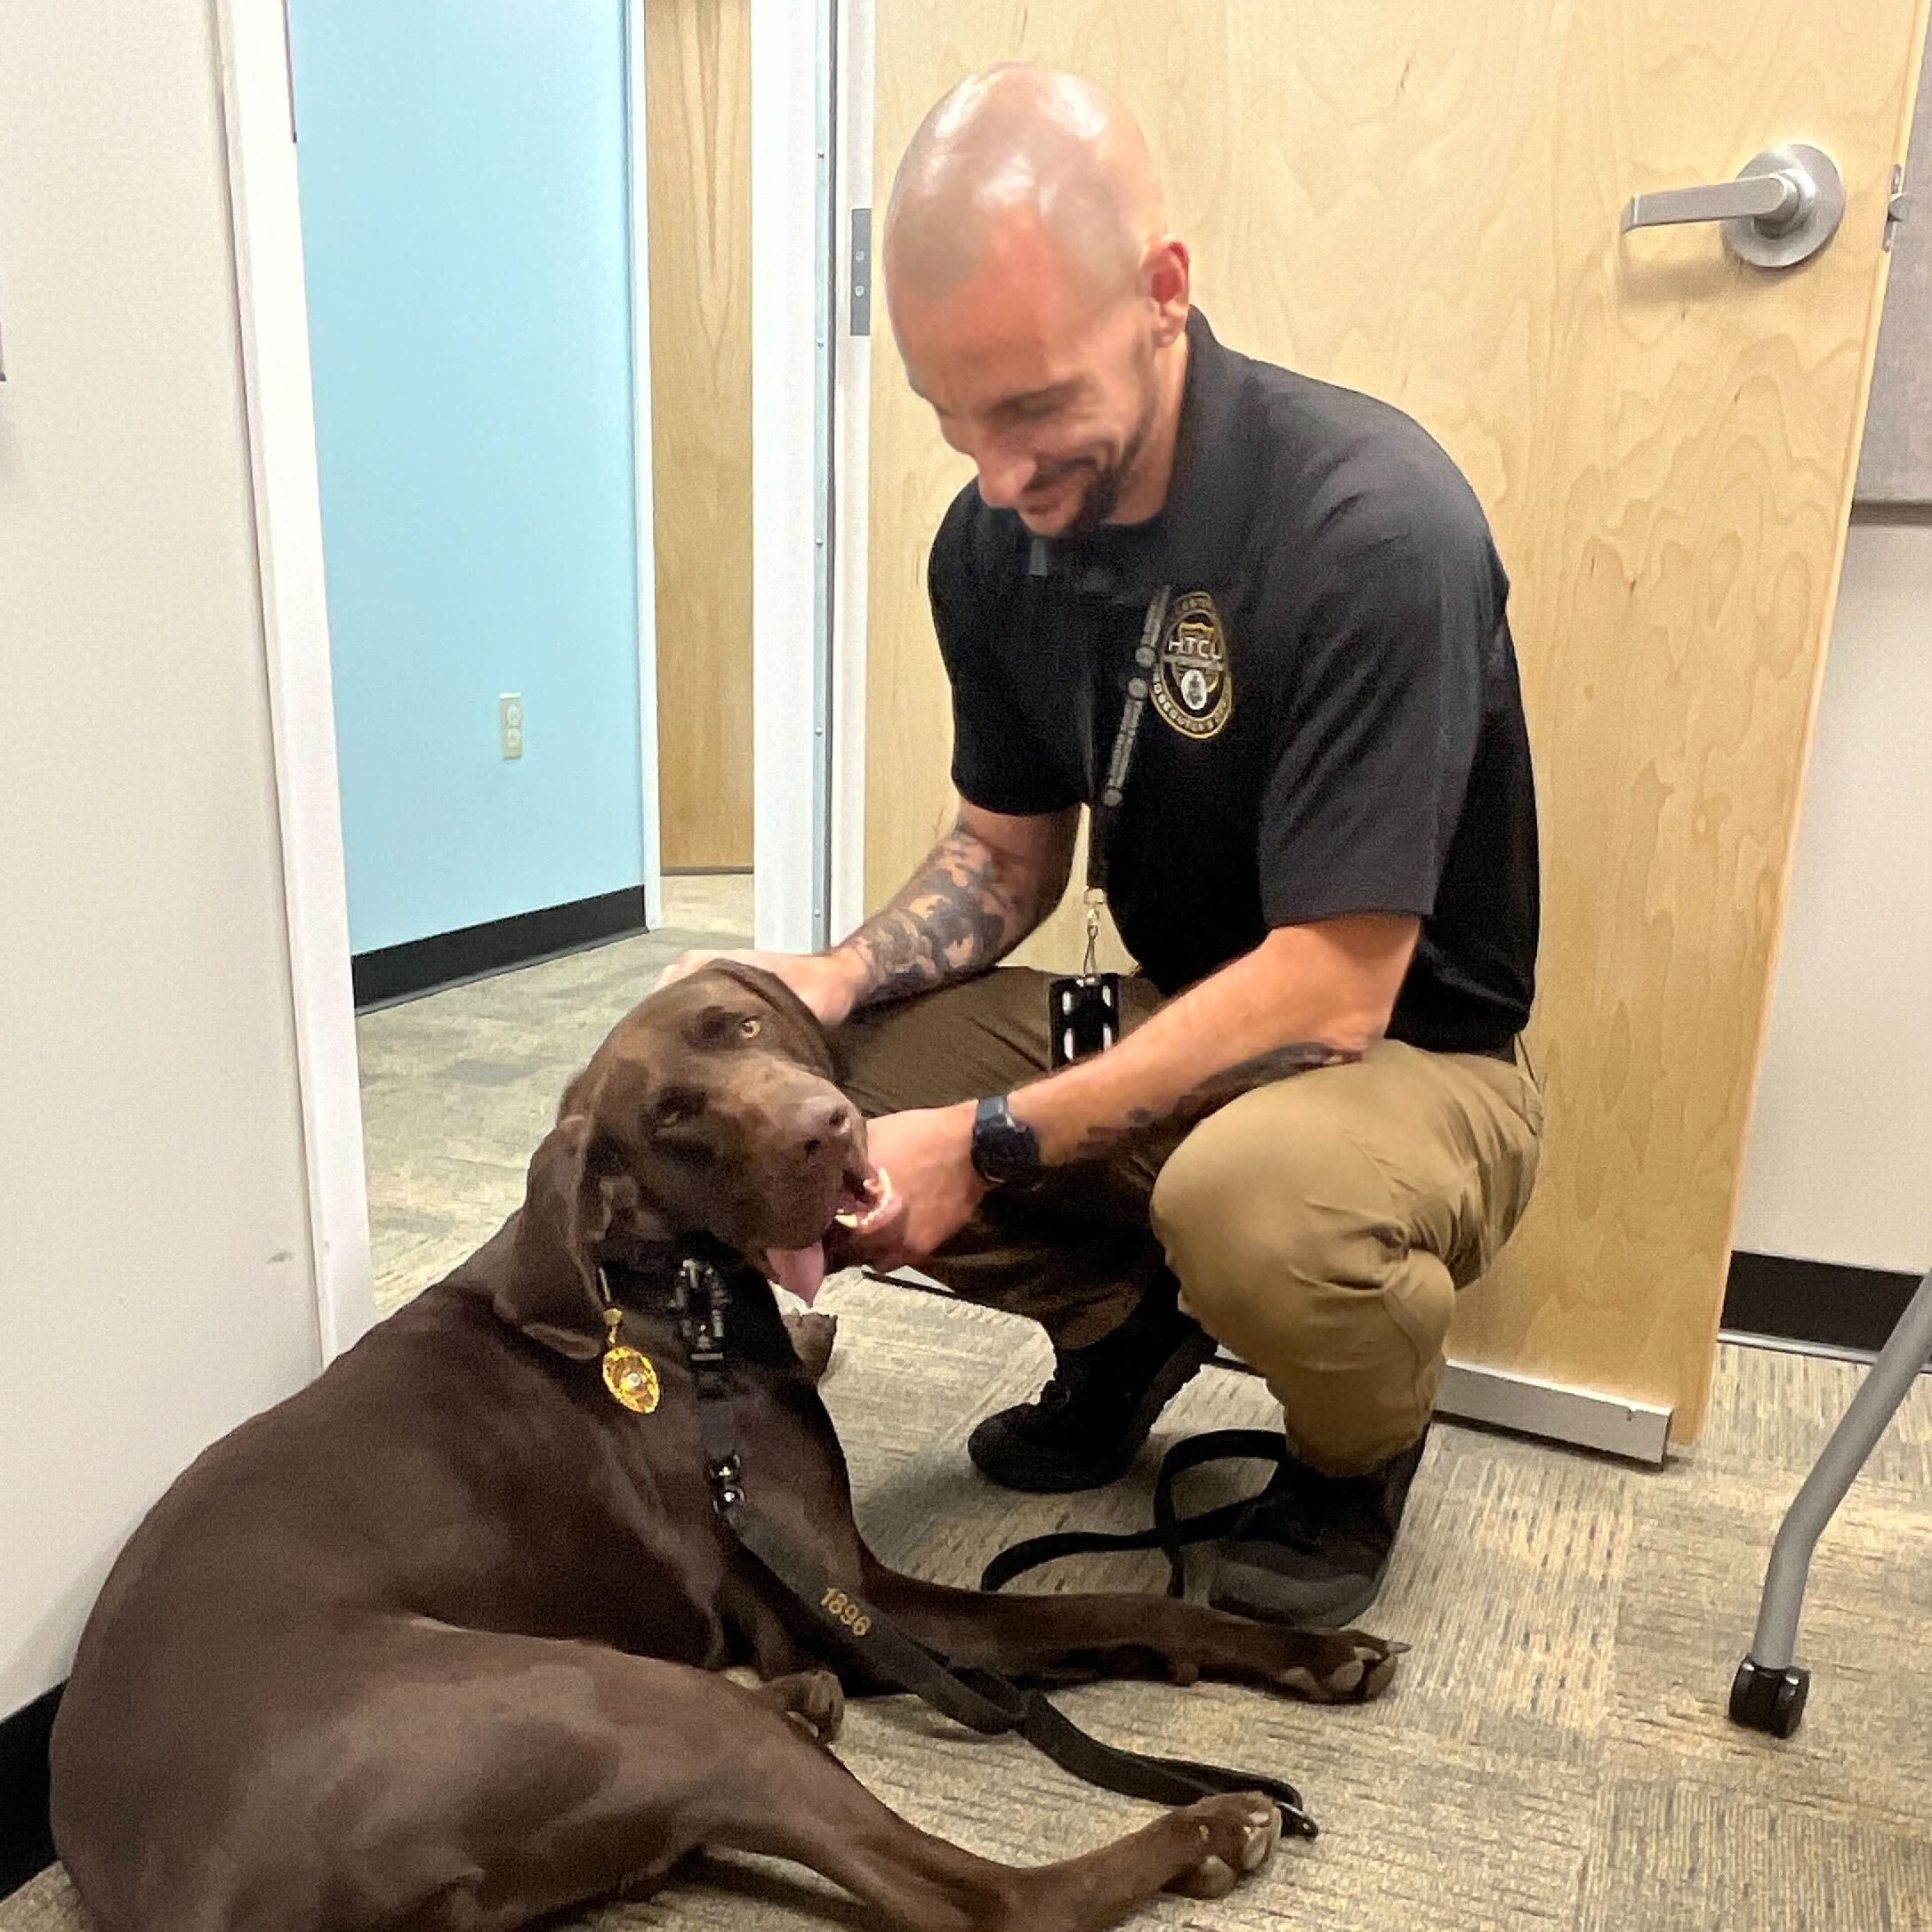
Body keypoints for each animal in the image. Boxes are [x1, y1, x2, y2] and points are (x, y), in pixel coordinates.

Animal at [52, 966, 1398, 1932]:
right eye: (674, 1117)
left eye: (742, 1026)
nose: (830, 1126)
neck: (676, 1298)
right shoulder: (846, 1600)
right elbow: (1084, 1620)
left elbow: (1135, 1611)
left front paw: (1313, 1653)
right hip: (626, 1703)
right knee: (985, 1901)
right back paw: (1207, 1831)